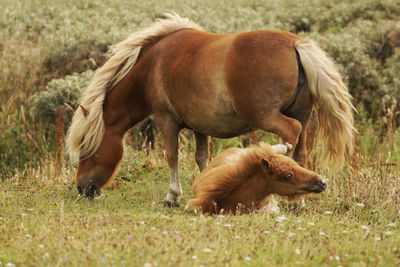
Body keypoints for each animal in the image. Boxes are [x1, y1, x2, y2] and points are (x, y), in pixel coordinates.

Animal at [67, 13, 354, 205]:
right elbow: (202, 158)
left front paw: (173, 196)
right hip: (303, 116)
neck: (152, 64)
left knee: (290, 136)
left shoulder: (166, 120)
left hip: (268, 116)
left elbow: (172, 155)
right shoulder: (199, 125)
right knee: (302, 150)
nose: (82, 188)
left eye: (87, 149)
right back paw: (299, 201)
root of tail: (296, 45)